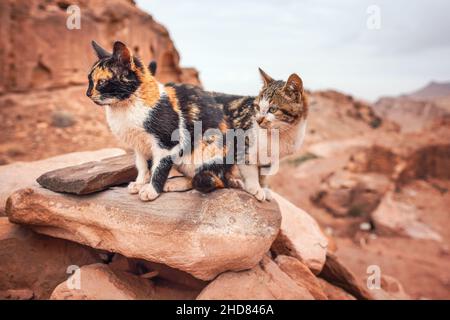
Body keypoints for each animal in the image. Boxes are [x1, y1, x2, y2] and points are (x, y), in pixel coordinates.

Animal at [87, 39, 232, 200]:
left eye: (101, 82)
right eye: (89, 80)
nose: (87, 93)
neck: (124, 107)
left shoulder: (168, 144)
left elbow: (159, 167)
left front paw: (151, 190)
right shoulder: (138, 145)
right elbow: (142, 165)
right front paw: (140, 183)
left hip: (203, 150)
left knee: (211, 179)